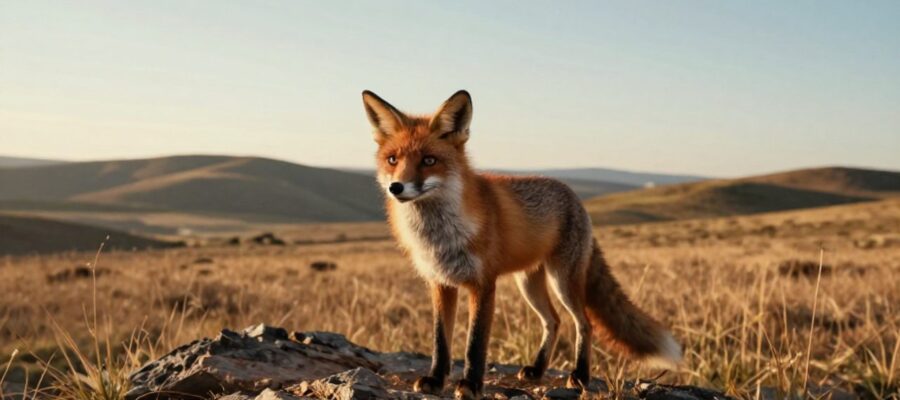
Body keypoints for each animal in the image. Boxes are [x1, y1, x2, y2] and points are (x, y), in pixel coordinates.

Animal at [361, 90, 682, 399]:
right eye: (393, 160)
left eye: (429, 160)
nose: (396, 187)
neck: (440, 235)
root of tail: (573, 196)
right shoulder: (440, 283)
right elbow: (440, 341)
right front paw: (436, 380)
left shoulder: (483, 284)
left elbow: (475, 343)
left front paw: (471, 385)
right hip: (528, 283)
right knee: (553, 321)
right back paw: (537, 370)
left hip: (562, 280)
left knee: (583, 323)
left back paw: (580, 376)